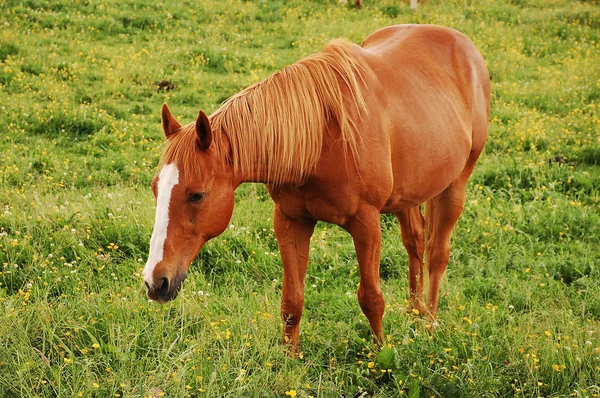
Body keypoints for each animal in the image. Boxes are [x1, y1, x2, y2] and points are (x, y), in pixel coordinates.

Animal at [143, 24, 490, 352]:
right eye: (155, 188)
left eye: (197, 195)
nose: (154, 282)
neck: (322, 136)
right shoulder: (290, 221)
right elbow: (291, 302)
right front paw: (289, 362)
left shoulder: (367, 223)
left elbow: (371, 298)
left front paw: (381, 356)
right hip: (409, 193)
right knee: (415, 242)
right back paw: (414, 313)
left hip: (456, 184)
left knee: (437, 253)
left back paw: (428, 323)